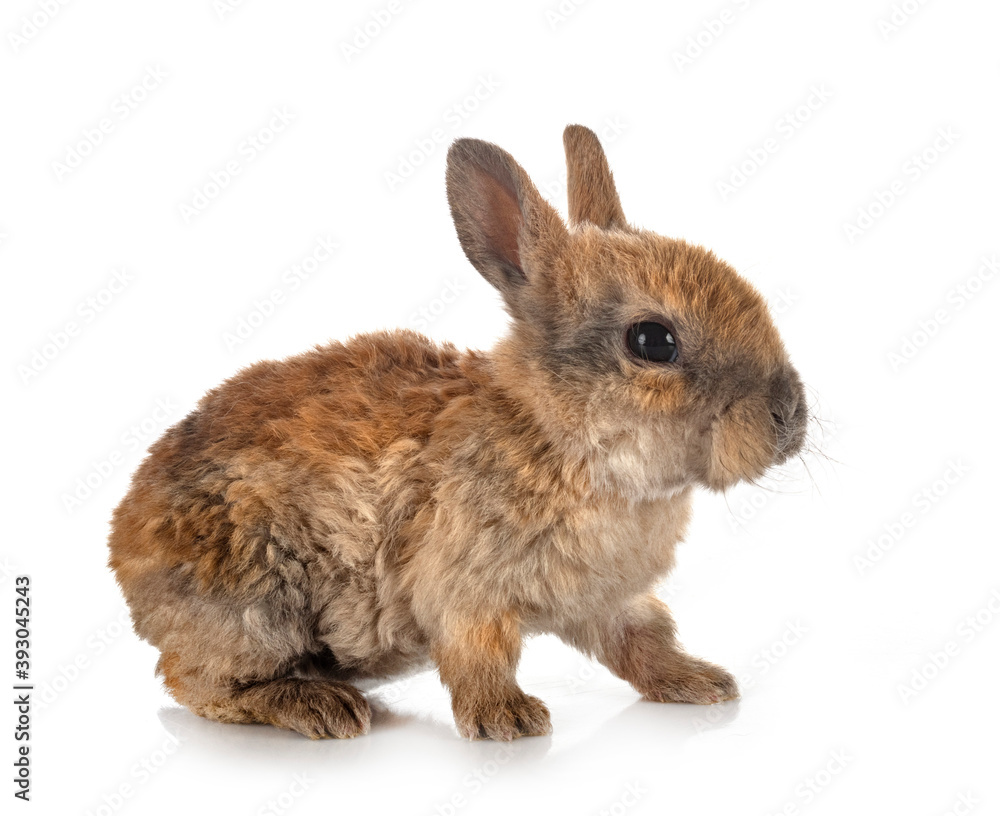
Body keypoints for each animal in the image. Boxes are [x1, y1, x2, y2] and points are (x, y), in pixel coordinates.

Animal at [108, 124, 807, 741]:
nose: (790, 415)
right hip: (256, 606)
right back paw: (321, 707)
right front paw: (509, 722)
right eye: (653, 341)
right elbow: (481, 656)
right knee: (199, 684)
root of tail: (124, 545)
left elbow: (644, 642)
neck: (558, 438)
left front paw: (702, 683)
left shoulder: (610, 599)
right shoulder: (466, 594)